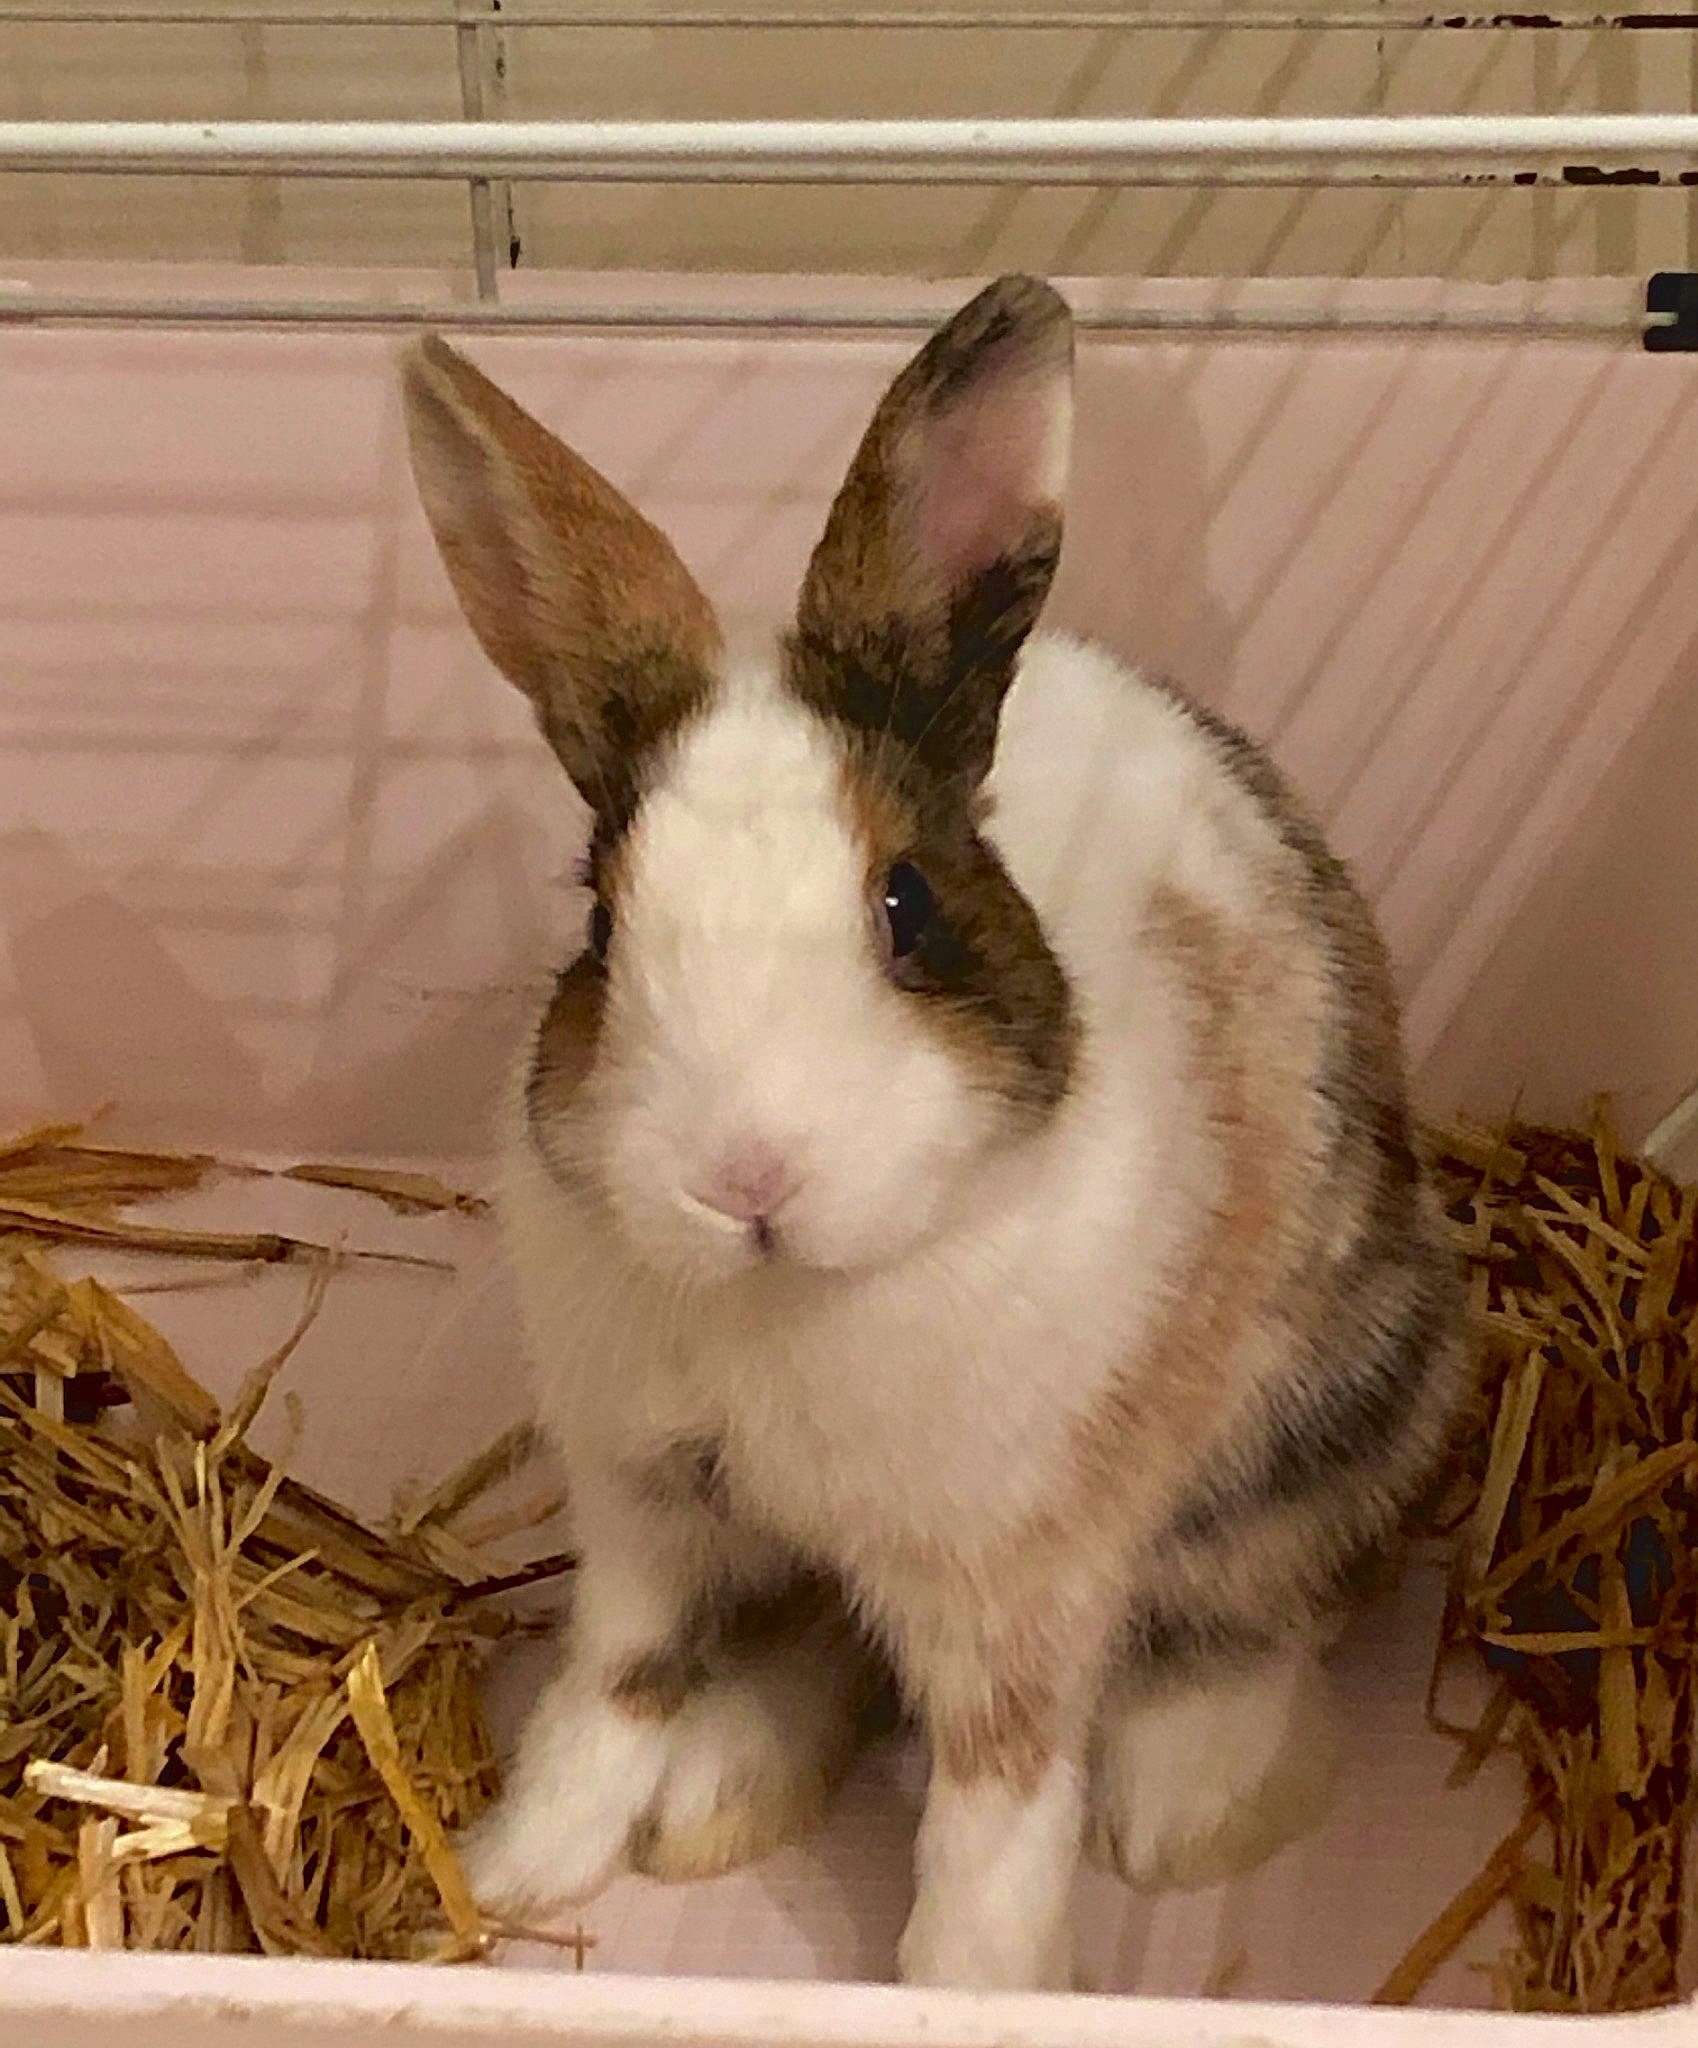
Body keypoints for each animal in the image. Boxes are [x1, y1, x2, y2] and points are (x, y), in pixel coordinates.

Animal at [399, 274, 1468, 1993]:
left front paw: (966, 1984)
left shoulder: (1015, 1589)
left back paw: (1186, 1807)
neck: (787, 1298)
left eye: (907, 911)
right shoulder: (646, 1517)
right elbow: (611, 1687)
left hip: (1337, 1413)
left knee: (1254, 1607)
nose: (745, 1178)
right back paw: (719, 1792)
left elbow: (995, 1801)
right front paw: (507, 1872)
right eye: (602, 923)